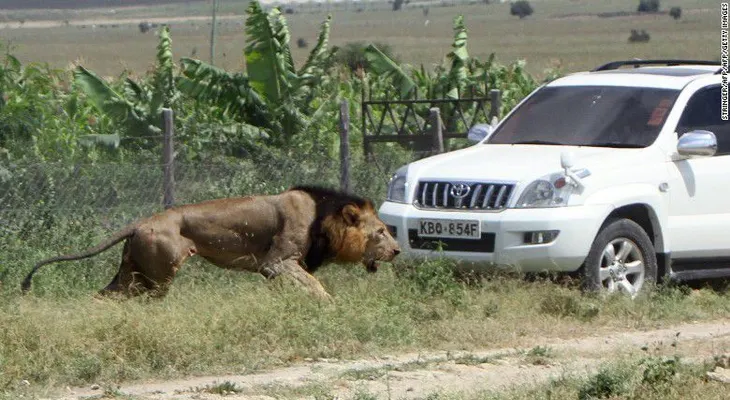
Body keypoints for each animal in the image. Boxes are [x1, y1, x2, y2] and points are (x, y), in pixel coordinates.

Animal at [21, 186, 401, 301]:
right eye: (381, 231)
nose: (397, 250)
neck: (323, 218)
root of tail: (141, 222)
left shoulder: (275, 271)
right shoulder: (277, 262)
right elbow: (316, 286)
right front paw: (330, 307)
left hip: (132, 272)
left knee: (104, 296)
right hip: (158, 275)